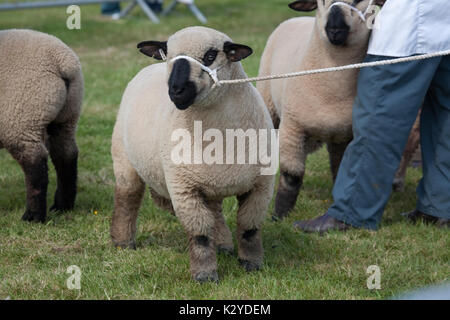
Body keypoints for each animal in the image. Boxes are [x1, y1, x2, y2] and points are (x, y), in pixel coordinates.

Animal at [0, 29, 83, 222]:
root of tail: (62, 60)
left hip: (21, 118)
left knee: (35, 164)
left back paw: (33, 216)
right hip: (67, 116)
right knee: (66, 155)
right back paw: (62, 206)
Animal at [110, 26, 276, 282]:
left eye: (210, 55)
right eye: (167, 55)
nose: (176, 90)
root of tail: (148, 68)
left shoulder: (261, 185)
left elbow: (249, 227)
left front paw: (251, 263)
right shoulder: (184, 188)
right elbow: (200, 234)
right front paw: (205, 275)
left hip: (207, 181)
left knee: (214, 212)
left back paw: (223, 244)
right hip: (124, 160)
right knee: (127, 200)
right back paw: (122, 242)